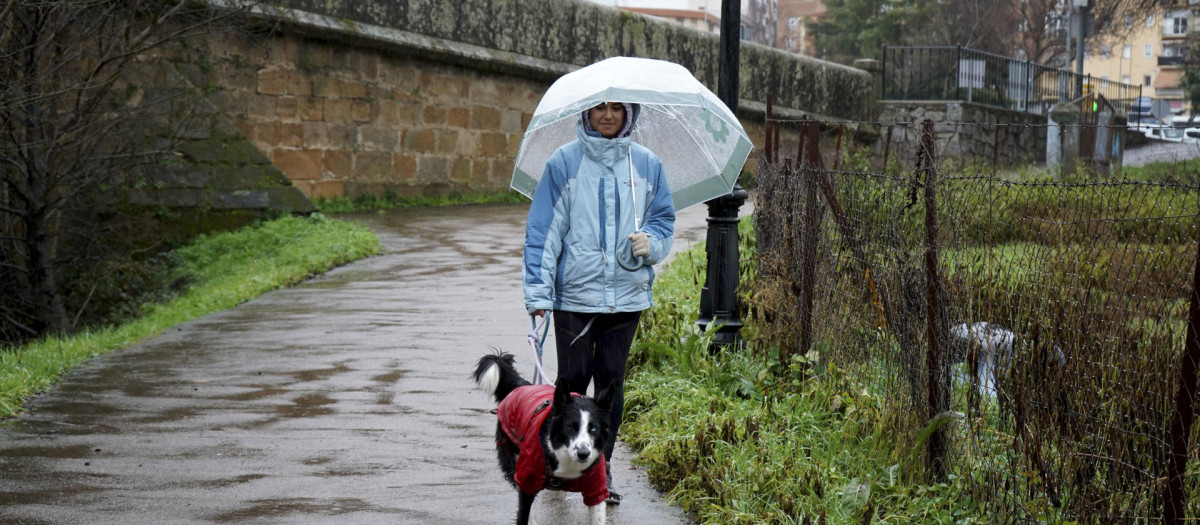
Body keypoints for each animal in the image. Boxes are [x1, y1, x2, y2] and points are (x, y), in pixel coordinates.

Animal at [472, 352, 614, 525]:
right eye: (570, 427)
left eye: (593, 429)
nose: (583, 454)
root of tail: (522, 385)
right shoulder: (527, 480)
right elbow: (523, 511)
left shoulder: (596, 489)